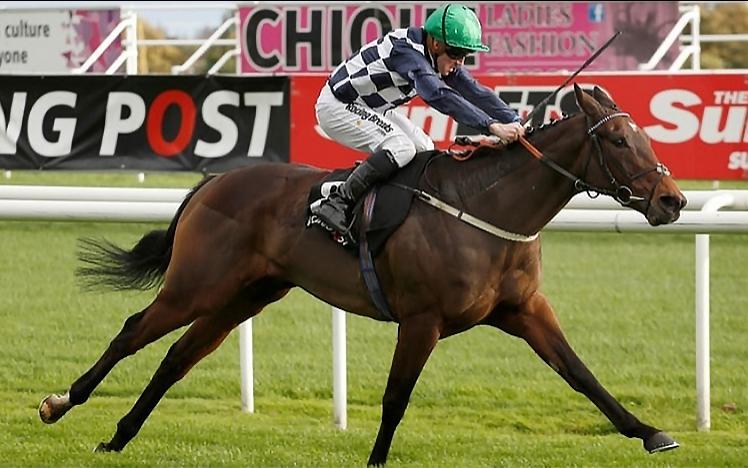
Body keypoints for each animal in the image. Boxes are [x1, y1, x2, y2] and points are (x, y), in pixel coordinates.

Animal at [39, 85, 684, 464]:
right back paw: (60, 403)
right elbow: (397, 397)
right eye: (620, 139)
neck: (488, 208)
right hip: (197, 284)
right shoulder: (421, 320)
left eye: (646, 135)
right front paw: (376, 459)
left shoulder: (524, 310)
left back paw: (119, 435)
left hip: (245, 295)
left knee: (177, 358)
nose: (673, 201)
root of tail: (214, 181)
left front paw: (650, 431)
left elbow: (581, 374)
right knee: (133, 331)